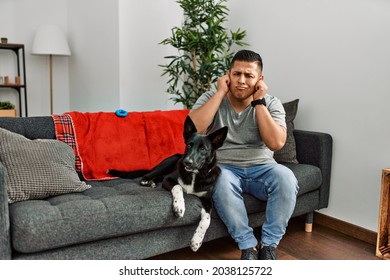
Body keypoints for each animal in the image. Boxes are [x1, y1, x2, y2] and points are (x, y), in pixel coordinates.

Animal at [108, 116, 227, 252]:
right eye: (189, 145)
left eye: (203, 149)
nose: (186, 162)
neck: (194, 174)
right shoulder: (169, 179)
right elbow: (178, 187)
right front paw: (179, 206)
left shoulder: (207, 198)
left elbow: (207, 219)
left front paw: (196, 241)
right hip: (168, 162)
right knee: (151, 174)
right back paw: (146, 180)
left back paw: (153, 183)